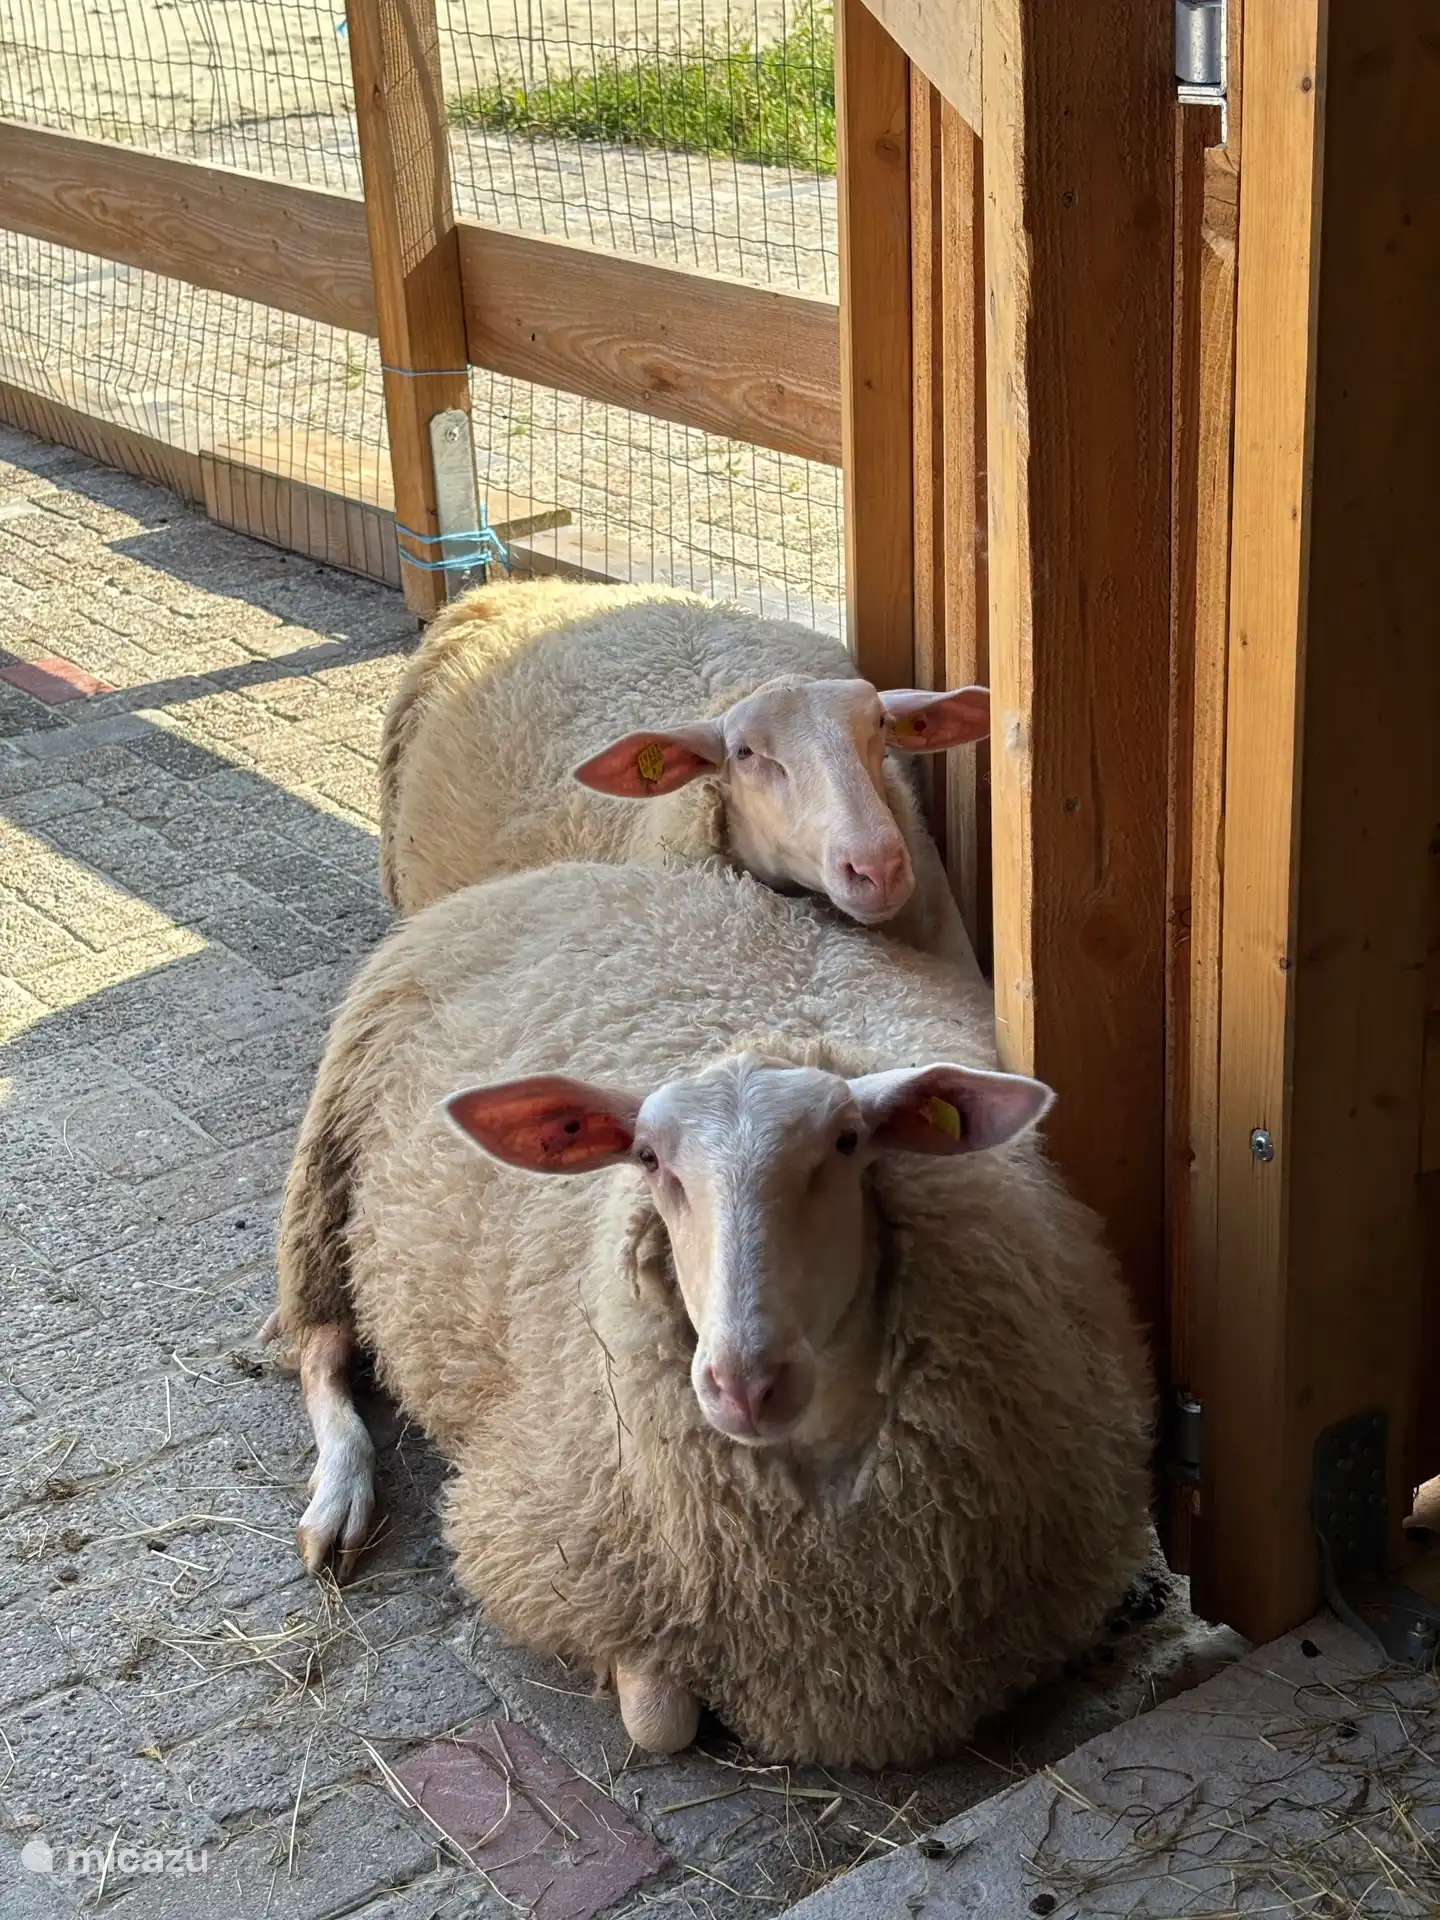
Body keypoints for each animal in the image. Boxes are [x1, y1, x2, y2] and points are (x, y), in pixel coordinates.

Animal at [273, 858, 1153, 1770]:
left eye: (848, 1142)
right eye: (648, 1158)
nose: (744, 1382)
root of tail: (548, 872)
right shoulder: (558, 1547)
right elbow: (659, 1720)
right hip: (326, 1187)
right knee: (321, 1349)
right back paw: (338, 1497)